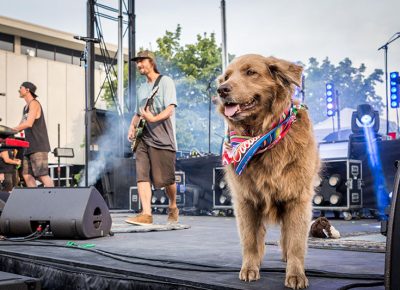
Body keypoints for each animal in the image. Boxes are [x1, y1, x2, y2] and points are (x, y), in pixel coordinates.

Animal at [217, 55, 320, 290]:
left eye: (251, 72)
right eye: (226, 77)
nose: (221, 90)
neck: (261, 135)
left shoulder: (298, 199)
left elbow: (296, 242)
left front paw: (296, 274)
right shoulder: (245, 200)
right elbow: (250, 240)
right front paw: (249, 268)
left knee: (286, 237)